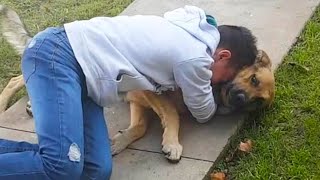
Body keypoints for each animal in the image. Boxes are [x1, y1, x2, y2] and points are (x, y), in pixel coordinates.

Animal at [0, 3, 276, 162]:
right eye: (252, 79)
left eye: (256, 102)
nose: (240, 99)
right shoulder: (147, 87)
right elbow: (170, 113)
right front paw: (172, 142)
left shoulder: (138, 101)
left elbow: (141, 127)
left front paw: (122, 140)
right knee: (16, 78)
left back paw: (31, 105)